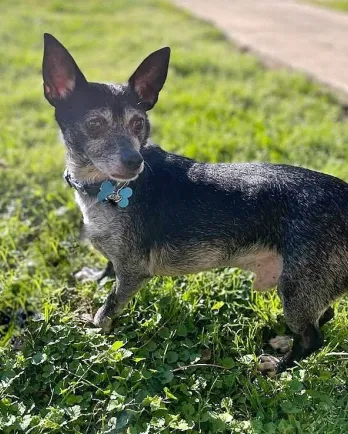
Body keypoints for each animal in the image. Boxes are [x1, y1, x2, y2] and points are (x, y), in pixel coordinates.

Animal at [42, 34, 348, 374]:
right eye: (94, 124)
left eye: (138, 124)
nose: (135, 162)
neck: (105, 189)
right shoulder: (119, 257)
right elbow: (109, 267)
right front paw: (95, 277)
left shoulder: (134, 272)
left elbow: (109, 305)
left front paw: (94, 327)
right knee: (326, 315)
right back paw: (283, 342)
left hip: (296, 289)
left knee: (312, 338)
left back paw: (278, 366)